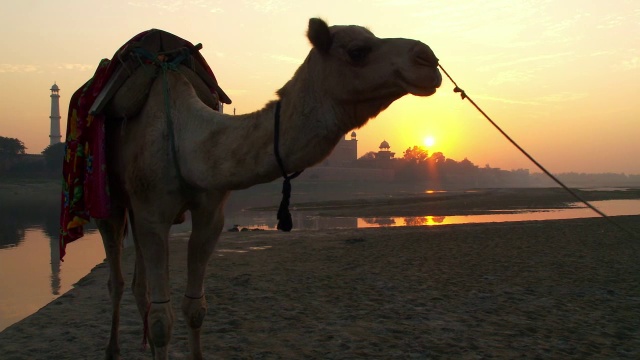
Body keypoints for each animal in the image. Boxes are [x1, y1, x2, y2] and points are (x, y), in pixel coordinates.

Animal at [97, 18, 442, 358]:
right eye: (357, 51)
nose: (427, 58)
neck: (186, 139)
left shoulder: (211, 213)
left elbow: (195, 308)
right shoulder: (153, 211)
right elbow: (161, 320)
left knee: (138, 285)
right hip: (110, 202)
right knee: (116, 279)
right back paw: (113, 349)